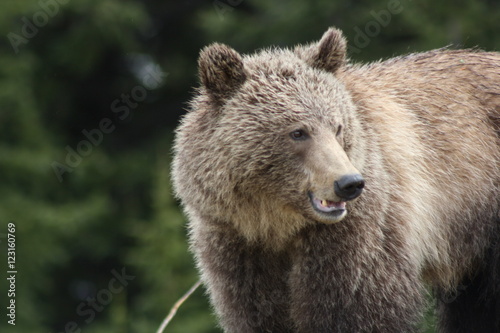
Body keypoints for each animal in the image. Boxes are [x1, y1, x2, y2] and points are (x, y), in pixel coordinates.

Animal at [171, 27, 496, 330]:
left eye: (338, 127)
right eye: (298, 132)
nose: (349, 183)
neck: (276, 223)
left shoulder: (359, 236)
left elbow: (356, 308)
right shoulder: (235, 242)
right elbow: (258, 314)